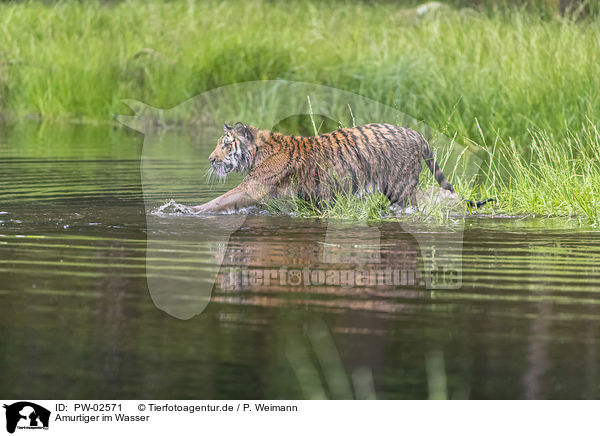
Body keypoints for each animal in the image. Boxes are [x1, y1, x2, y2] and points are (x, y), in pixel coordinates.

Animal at [192, 122, 492, 214]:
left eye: (226, 145)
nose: (210, 159)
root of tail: (415, 133)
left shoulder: (253, 187)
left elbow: (221, 200)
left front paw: (188, 210)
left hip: (401, 188)